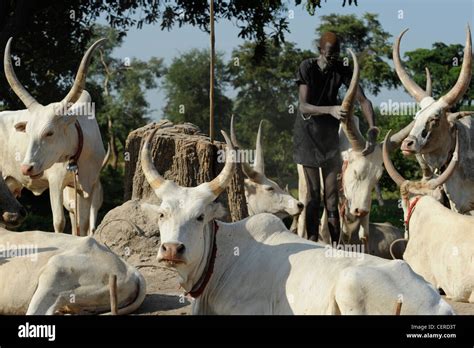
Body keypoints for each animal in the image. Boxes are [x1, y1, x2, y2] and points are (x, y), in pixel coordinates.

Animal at [0, 38, 106, 235]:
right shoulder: (56, 183)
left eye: (49, 132)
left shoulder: (88, 187)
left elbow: (83, 225)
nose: (26, 168)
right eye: (28, 131)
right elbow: (59, 222)